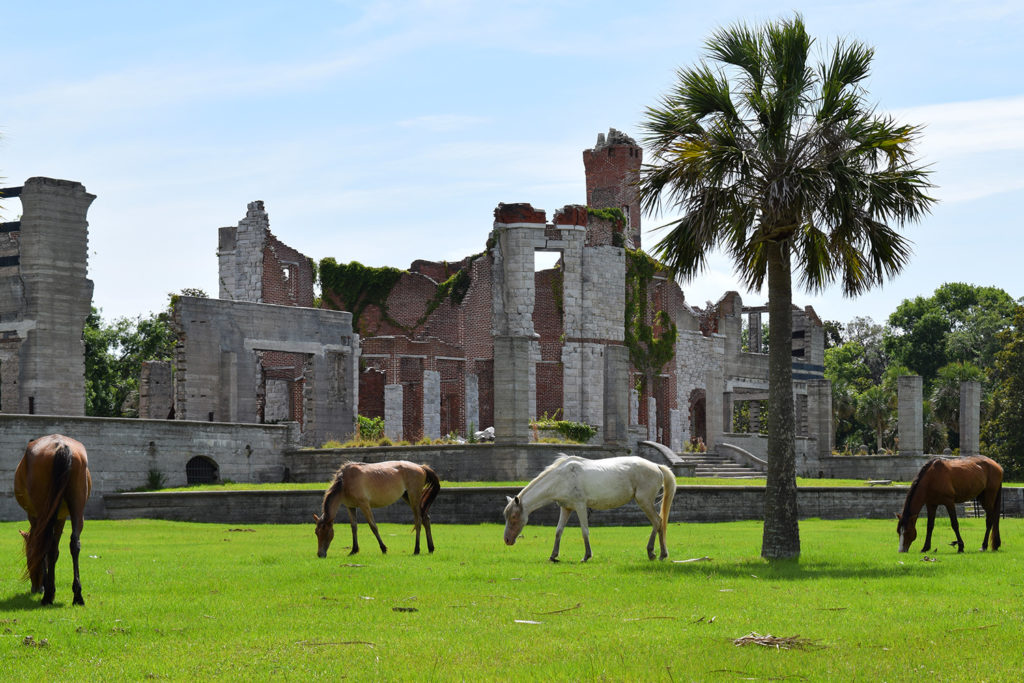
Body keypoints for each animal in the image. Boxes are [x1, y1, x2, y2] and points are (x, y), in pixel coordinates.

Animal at [13, 436, 92, 606]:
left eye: (28, 555)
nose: (35, 587)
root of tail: (60, 445)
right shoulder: (61, 518)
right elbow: (55, 551)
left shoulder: (35, 517)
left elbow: (43, 549)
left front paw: (46, 588)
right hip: (77, 506)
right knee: (74, 544)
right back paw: (77, 595)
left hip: (43, 510)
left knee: (46, 544)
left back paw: (47, 596)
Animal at [311, 462, 440, 557]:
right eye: (316, 532)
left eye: (325, 531)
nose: (320, 554)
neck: (345, 481)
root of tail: (420, 467)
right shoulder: (350, 506)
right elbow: (354, 527)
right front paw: (353, 550)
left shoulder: (364, 505)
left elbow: (373, 526)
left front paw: (383, 548)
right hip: (407, 496)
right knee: (425, 518)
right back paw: (431, 548)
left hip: (414, 497)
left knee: (418, 520)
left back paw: (416, 549)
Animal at [501, 456, 675, 565]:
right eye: (507, 516)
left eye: (514, 516)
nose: (507, 540)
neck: (562, 477)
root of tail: (657, 466)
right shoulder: (566, 508)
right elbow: (558, 531)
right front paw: (553, 556)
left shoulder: (580, 506)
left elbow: (584, 531)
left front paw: (586, 556)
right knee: (659, 523)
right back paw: (661, 554)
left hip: (644, 501)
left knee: (657, 522)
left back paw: (654, 553)